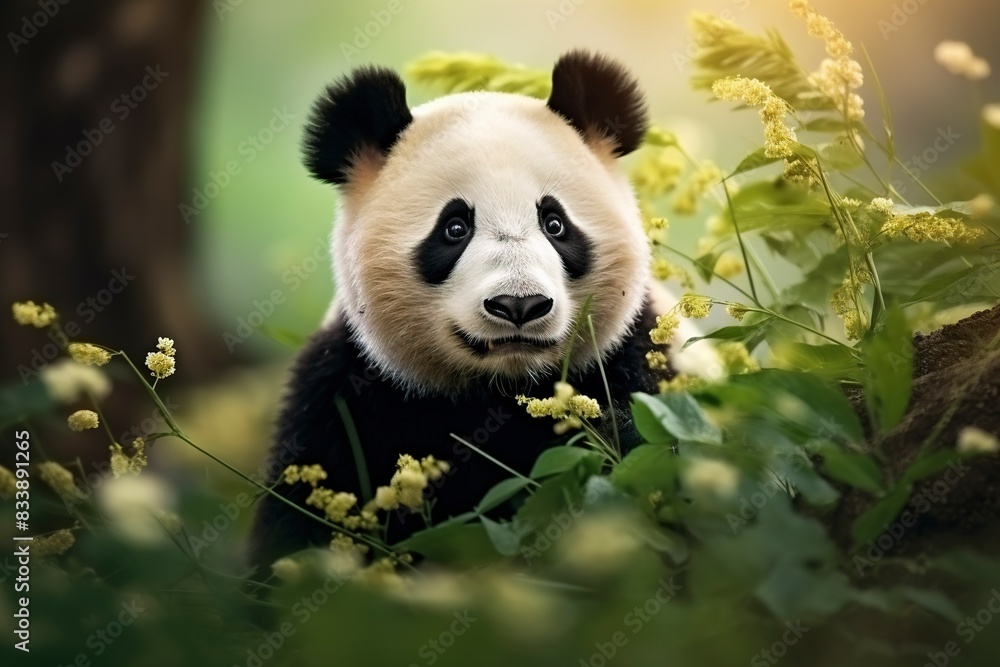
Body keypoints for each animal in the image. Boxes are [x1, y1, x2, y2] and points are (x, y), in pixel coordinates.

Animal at [249, 51, 693, 573]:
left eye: (555, 223)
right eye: (455, 227)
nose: (519, 304)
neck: (500, 389)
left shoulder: (641, 358)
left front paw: (596, 439)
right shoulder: (345, 392)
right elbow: (299, 525)